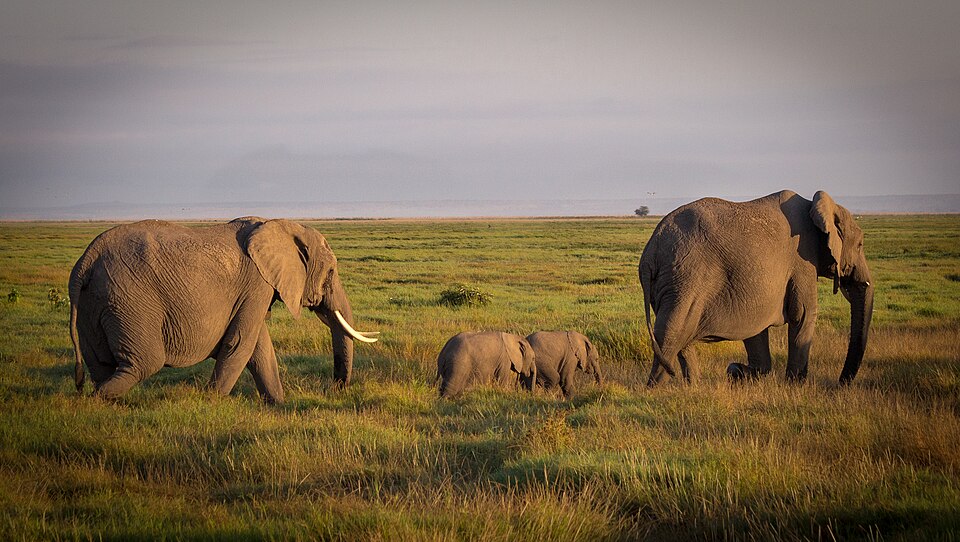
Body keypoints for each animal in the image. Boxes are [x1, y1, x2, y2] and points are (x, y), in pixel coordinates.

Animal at [68, 217, 379, 403]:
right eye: (331, 272)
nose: (336, 389)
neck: (282, 224)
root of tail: (87, 260)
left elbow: (260, 349)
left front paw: (278, 405)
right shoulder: (256, 284)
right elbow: (241, 343)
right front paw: (212, 403)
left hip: (95, 302)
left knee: (102, 364)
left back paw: (102, 402)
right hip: (129, 300)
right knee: (144, 362)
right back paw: (94, 401)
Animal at [638, 190, 874, 386]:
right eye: (860, 245)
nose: (841, 383)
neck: (815, 207)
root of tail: (650, 250)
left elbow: (756, 325)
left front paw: (741, 372)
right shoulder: (803, 260)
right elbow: (804, 314)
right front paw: (796, 385)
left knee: (681, 335)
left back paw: (694, 387)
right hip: (686, 277)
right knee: (672, 332)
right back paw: (656, 388)